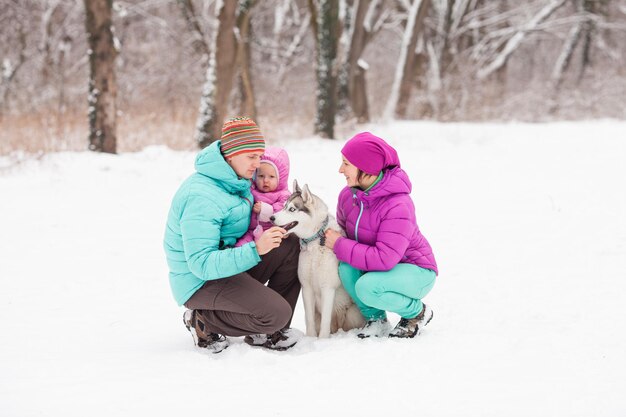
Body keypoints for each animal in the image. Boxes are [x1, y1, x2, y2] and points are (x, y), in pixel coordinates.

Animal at [270, 180, 364, 336]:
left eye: (292, 209)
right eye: (284, 206)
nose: (271, 218)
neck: (314, 240)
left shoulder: (328, 288)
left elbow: (325, 320)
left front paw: (322, 339)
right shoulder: (306, 287)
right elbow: (309, 319)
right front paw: (311, 338)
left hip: (353, 313)